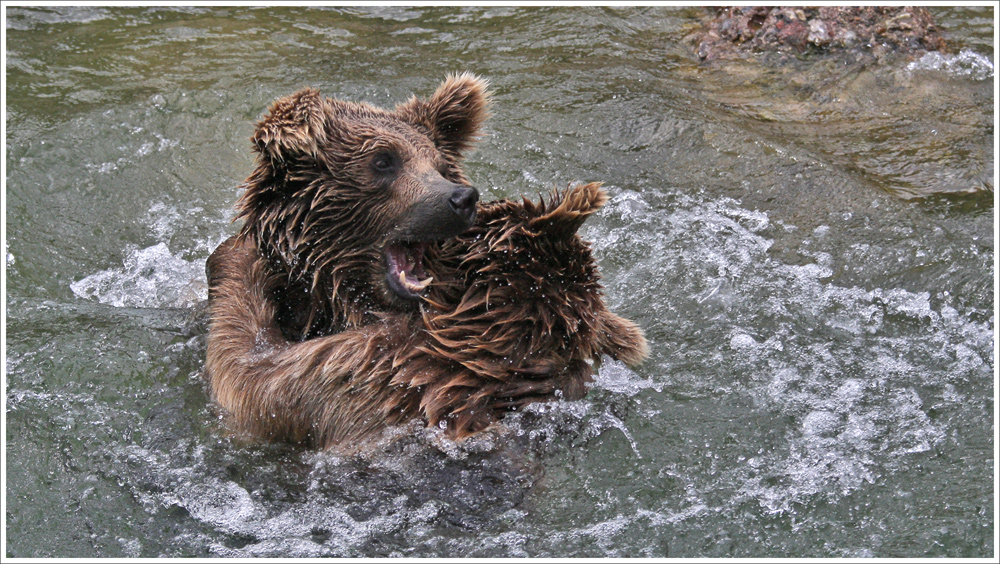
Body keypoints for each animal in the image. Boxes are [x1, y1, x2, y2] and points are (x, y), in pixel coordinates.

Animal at [205, 75, 648, 452]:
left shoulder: (359, 372)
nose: (461, 198)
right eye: (384, 160)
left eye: (437, 163)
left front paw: (238, 254)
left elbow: (248, 371)